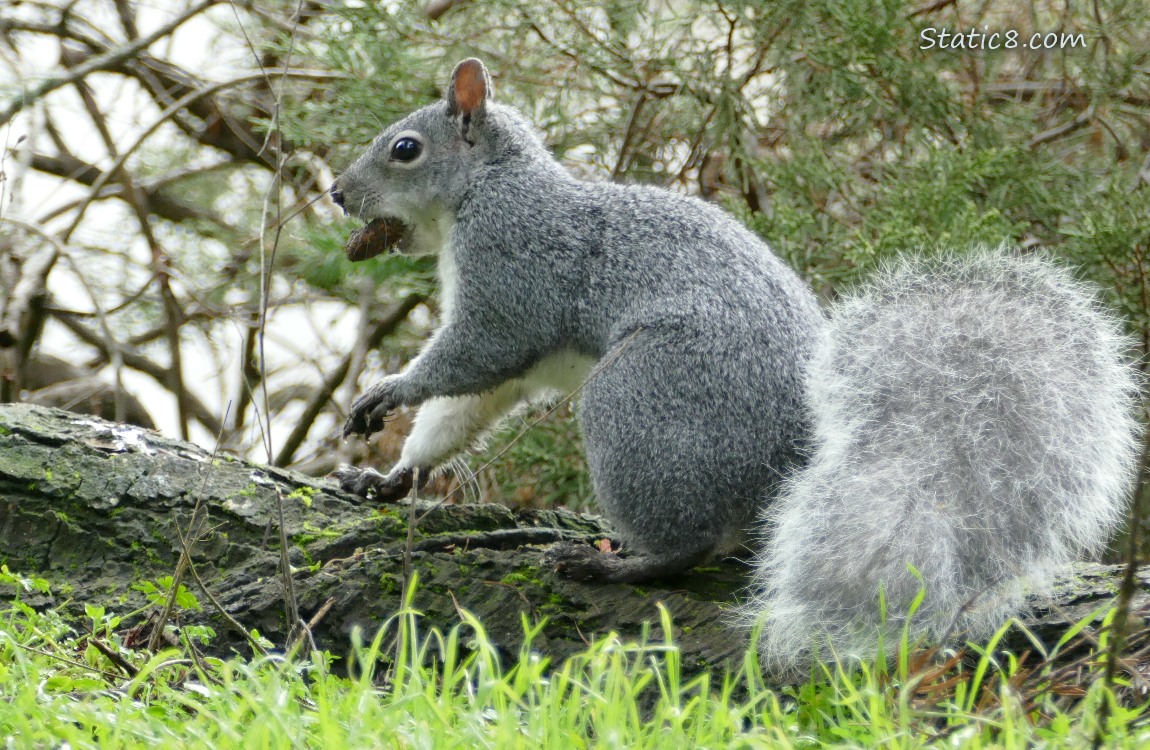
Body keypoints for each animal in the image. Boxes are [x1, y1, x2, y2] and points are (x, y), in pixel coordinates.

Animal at [328, 55, 1145, 671]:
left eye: (405, 148)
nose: (336, 192)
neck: (485, 189)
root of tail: (799, 457)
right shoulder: (518, 352)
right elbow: (464, 410)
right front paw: (390, 477)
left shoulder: (513, 267)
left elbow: (475, 353)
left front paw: (389, 389)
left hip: (645, 396)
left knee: (686, 543)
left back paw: (615, 562)